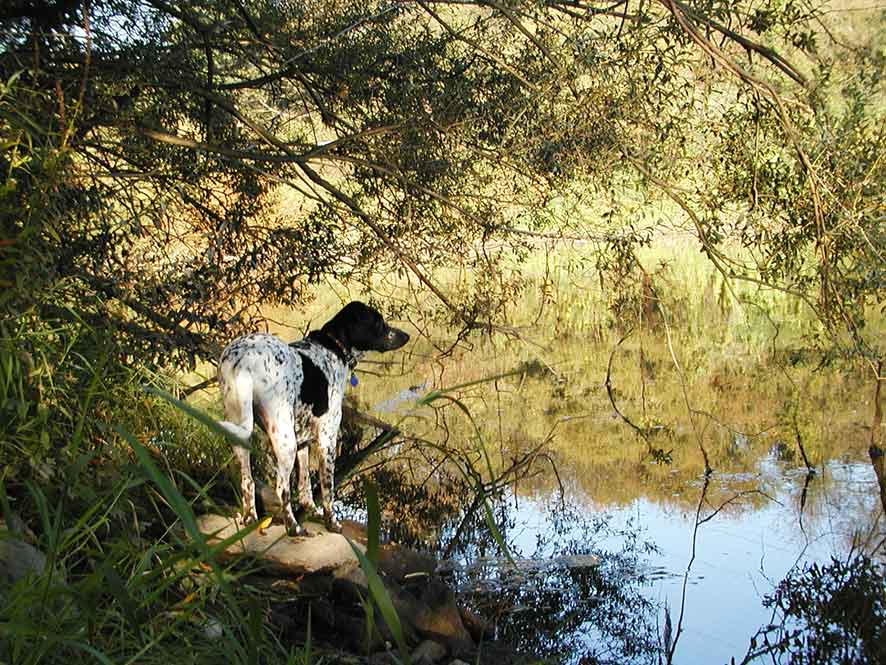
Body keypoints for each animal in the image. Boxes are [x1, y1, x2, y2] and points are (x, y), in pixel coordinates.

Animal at [217, 300, 412, 536]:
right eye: (380, 322)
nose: (406, 336)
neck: (333, 347)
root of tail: (244, 358)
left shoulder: (303, 440)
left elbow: (305, 486)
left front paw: (311, 509)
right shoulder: (327, 439)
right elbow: (327, 489)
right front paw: (332, 522)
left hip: (243, 431)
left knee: (248, 481)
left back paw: (250, 518)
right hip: (285, 441)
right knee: (281, 487)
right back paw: (293, 526)